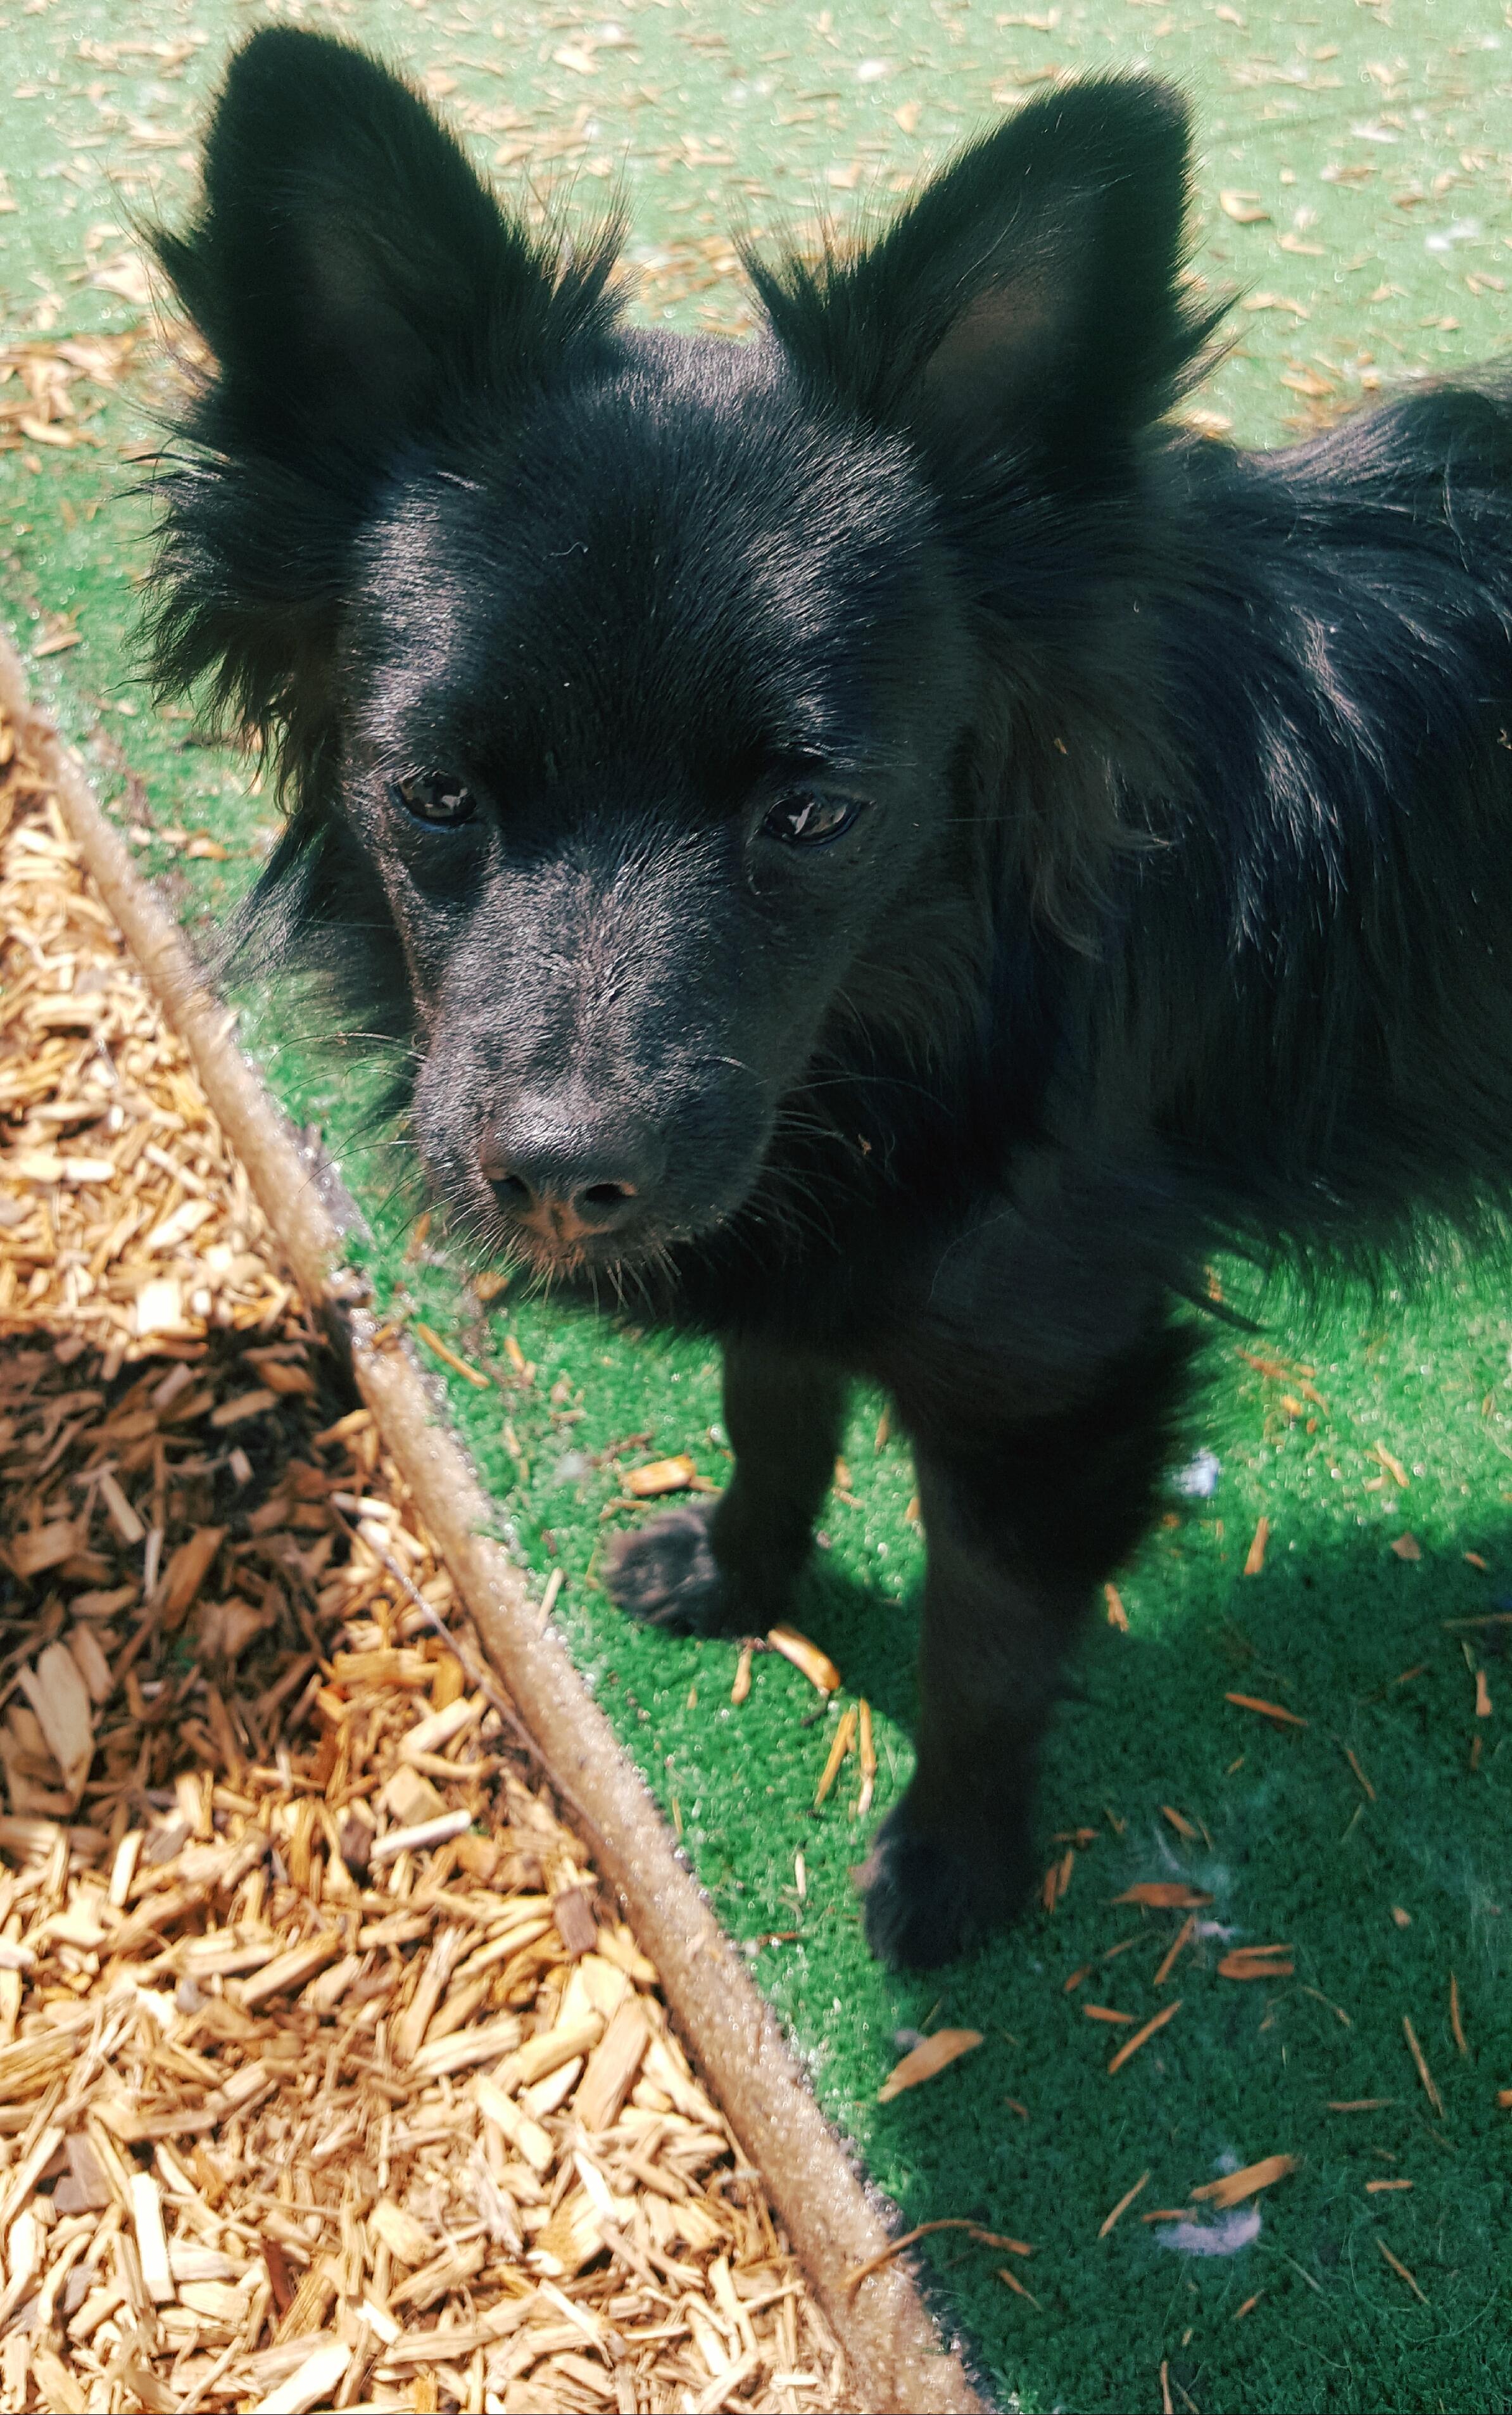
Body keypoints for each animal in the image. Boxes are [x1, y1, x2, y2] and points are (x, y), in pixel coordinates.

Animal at [150, 33, 1507, 1961]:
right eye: (432, 791)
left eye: (814, 814)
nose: (558, 1174)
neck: (918, 1027)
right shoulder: (770, 1224)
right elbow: (768, 1408)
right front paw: (742, 1570)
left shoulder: (1052, 1388)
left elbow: (982, 1652)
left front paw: (953, 1866)